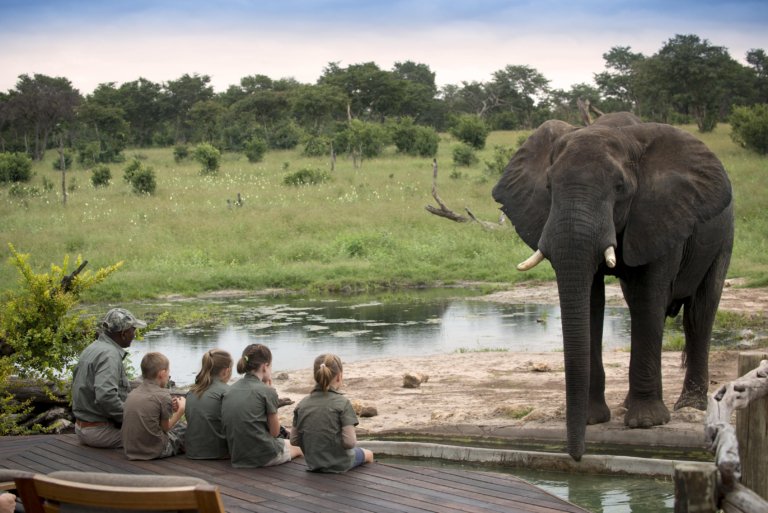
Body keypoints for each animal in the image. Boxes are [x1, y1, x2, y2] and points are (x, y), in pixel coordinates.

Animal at [492, 112, 734, 461]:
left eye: (621, 188)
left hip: (724, 236)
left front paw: (646, 423)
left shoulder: (658, 213)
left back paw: (689, 406)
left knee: (699, 313)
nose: (577, 457)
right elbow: (592, 301)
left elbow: (649, 294)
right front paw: (592, 419)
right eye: (549, 187)